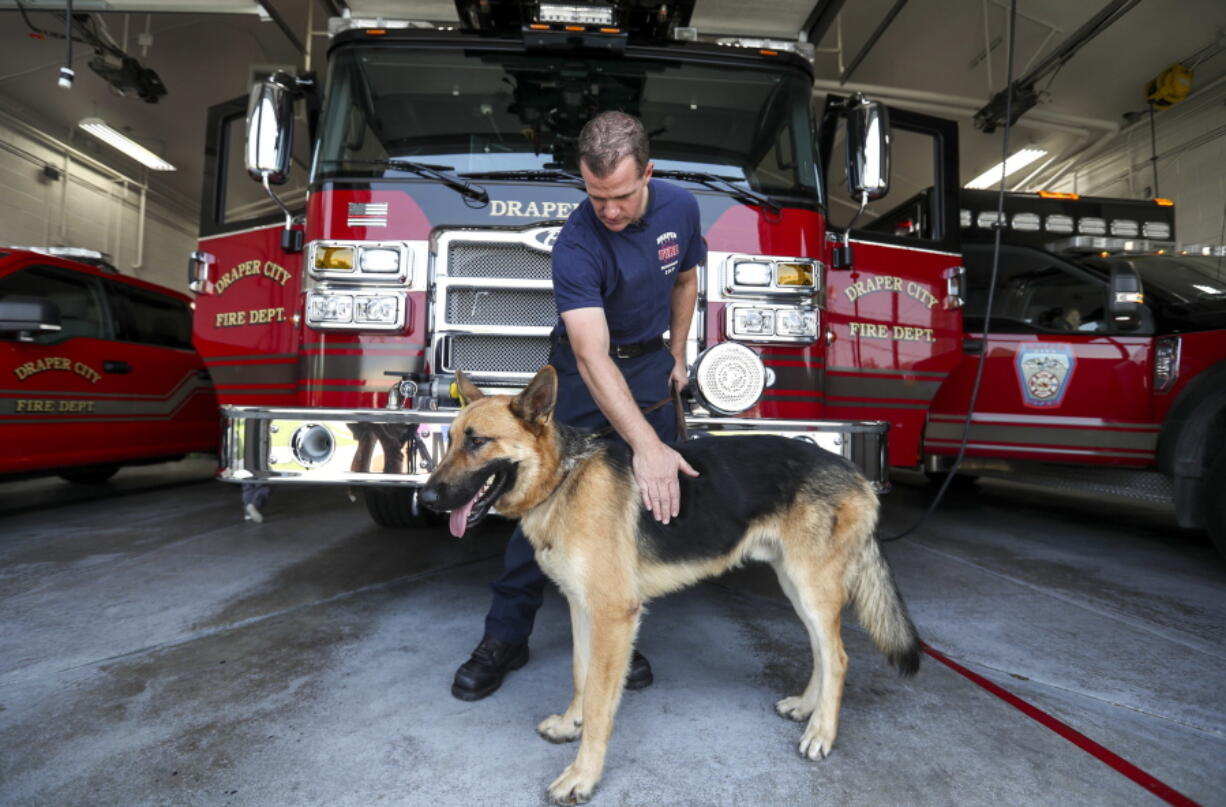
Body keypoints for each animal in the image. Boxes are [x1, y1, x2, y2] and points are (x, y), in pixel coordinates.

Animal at [421, 367, 921, 799]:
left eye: (478, 442)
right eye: (451, 440)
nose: (424, 497)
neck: (565, 476)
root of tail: (854, 472)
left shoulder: (613, 616)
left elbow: (601, 701)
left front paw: (583, 775)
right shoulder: (582, 608)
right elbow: (581, 675)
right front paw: (569, 724)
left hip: (812, 587)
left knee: (838, 656)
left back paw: (822, 733)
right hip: (796, 586)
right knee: (823, 650)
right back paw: (806, 707)